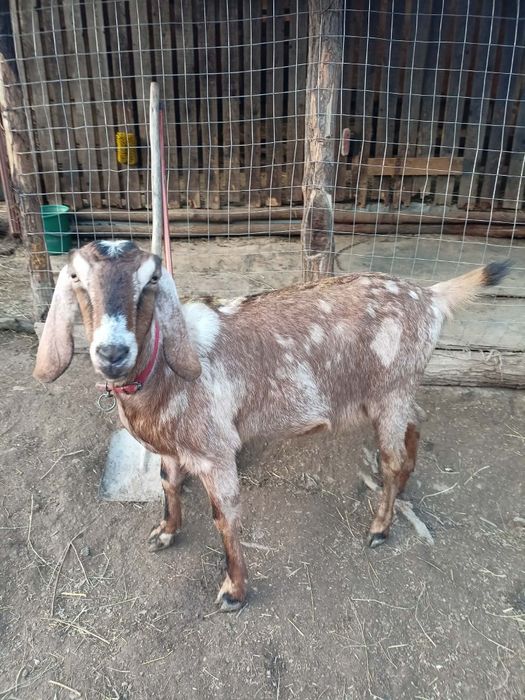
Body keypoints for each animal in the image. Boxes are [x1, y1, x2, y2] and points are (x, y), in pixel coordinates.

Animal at [34, 240, 510, 611]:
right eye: (76, 278)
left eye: (151, 280)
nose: (112, 352)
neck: (165, 370)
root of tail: (430, 297)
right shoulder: (173, 447)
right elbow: (168, 484)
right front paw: (165, 533)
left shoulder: (215, 450)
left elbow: (224, 517)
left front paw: (234, 591)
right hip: (394, 395)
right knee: (413, 431)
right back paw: (403, 494)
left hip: (390, 391)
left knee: (390, 460)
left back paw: (379, 528)